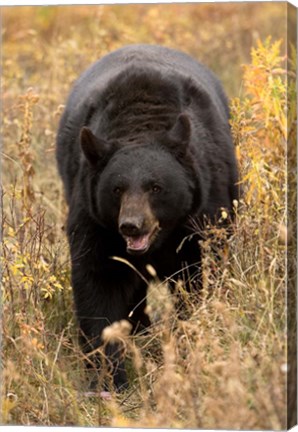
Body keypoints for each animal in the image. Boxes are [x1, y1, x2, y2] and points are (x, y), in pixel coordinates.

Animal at [55, 44, 237, 392]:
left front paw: (187, 345)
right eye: (117, 189)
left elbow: (200, 275)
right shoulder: (95, 219)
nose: (131, 225)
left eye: (156, 187)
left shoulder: (203, 211)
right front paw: (108, 379)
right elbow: (99, 283)